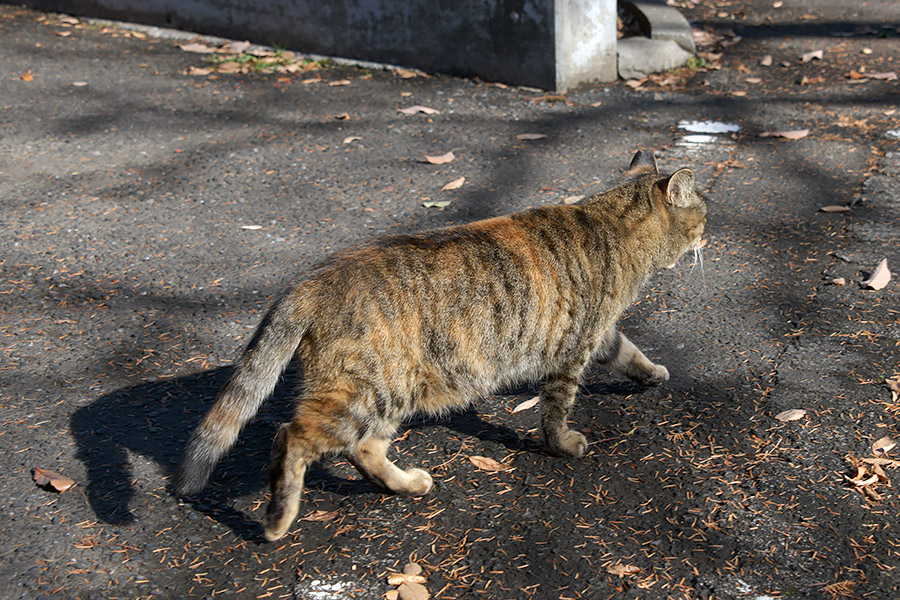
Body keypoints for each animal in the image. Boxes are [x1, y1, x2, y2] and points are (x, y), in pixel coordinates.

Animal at [176, 149, 708, 540]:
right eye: (702, 214)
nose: (709, 233)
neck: (609, 224)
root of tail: (309, 282)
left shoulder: (599, 334)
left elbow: (630, 353)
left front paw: (652, 373)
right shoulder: (573, 348)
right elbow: (557, 410)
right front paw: (562, 444)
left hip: (389, 396)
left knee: (362, 449)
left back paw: (407, 484)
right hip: (366, 392)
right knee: (292, 436)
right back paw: (278, 518)